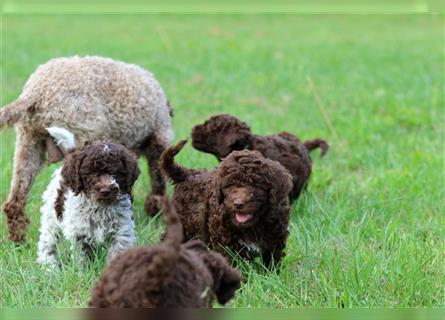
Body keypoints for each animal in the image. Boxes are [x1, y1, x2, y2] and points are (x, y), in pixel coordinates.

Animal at [0, 55, 173, 242]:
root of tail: (37, 92)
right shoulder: (159, 139)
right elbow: (158, 181)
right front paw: (156, 212)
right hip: (84, 137)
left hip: (28, 144)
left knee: (14, 202)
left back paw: (19, 241)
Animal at [37, 127, 140, 268]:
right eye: (92, 173)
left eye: (116, 173)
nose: (105, 191)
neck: (101, 207)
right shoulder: (79, 233)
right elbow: (82, 257)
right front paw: (83, 271)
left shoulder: (122, 230)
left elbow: (117, 252)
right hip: (50, 216)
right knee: (47, 241)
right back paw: (49, 264)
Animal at [161, 141, 294, 268]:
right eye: (230, 185)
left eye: (256, 186)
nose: (238, 204)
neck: (252, 226)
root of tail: (187, 174)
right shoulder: (225, 245)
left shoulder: (275, 240)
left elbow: (272, 263)